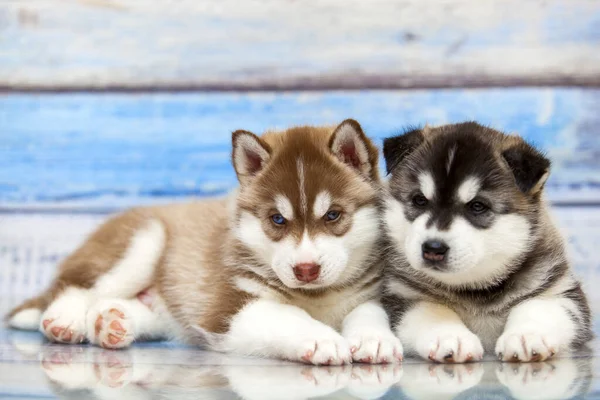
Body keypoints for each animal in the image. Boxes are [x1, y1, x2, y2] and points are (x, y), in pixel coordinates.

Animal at [380, 122, 592, 362]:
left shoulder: (563, 292)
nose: (433, 248)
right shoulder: (399, 296)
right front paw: (449, 335)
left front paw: (526, 335)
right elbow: (430, 309)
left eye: (477, 206)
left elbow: (537, 305)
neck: (475, 290)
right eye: (419, 200)